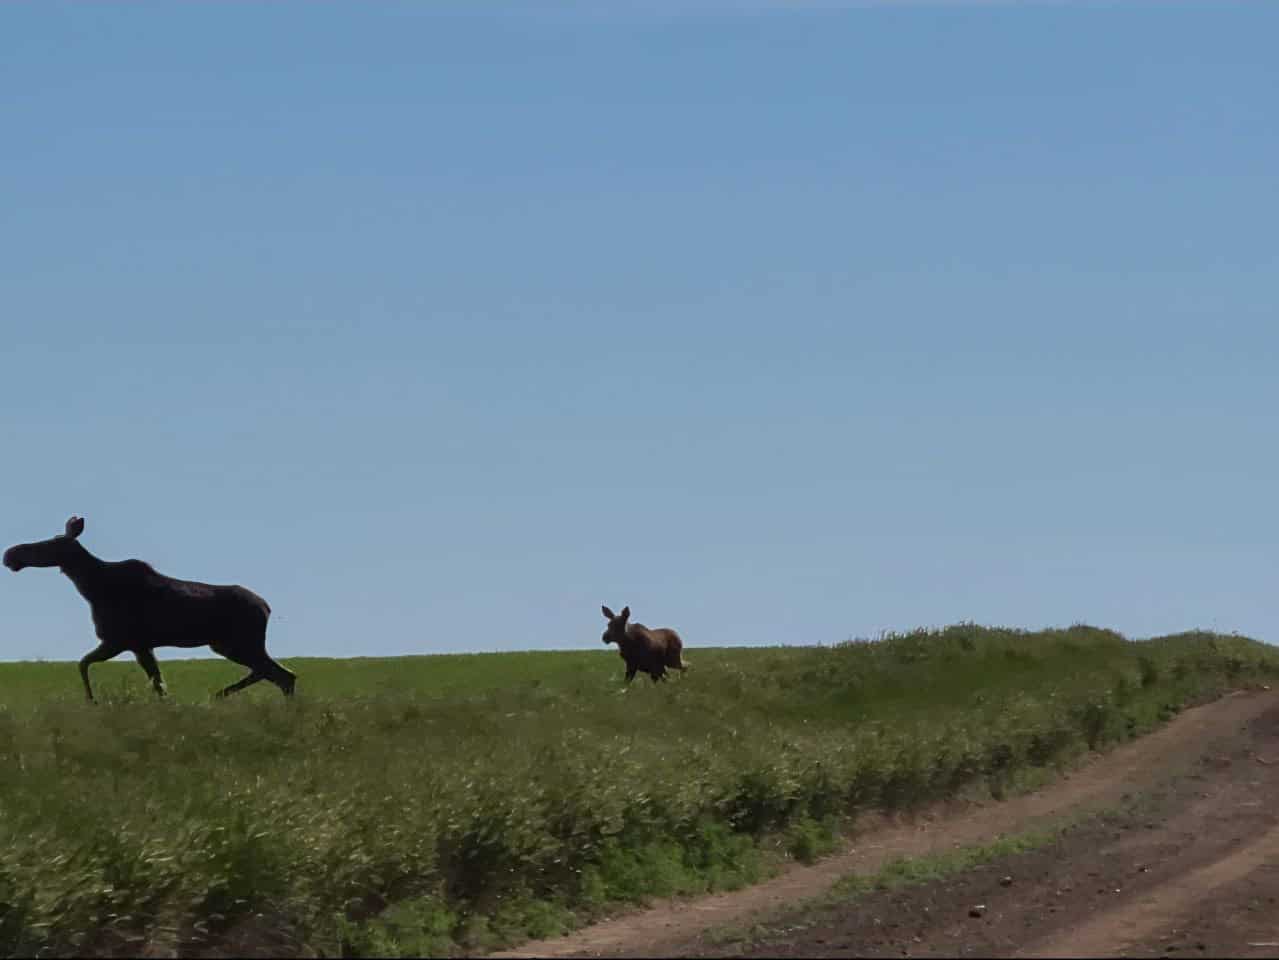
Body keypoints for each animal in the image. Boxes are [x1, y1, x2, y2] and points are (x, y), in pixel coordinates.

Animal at [3, 516, 295, 702]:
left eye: (48, 544)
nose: (10, 555)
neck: (91, 588)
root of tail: (267, 607)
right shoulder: (140, 645)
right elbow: (158, 684)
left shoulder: (120, 640)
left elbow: (82, 663)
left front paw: (92, 700)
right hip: (229, 644)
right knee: (276, 673)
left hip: (237, 643)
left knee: (280, 674)